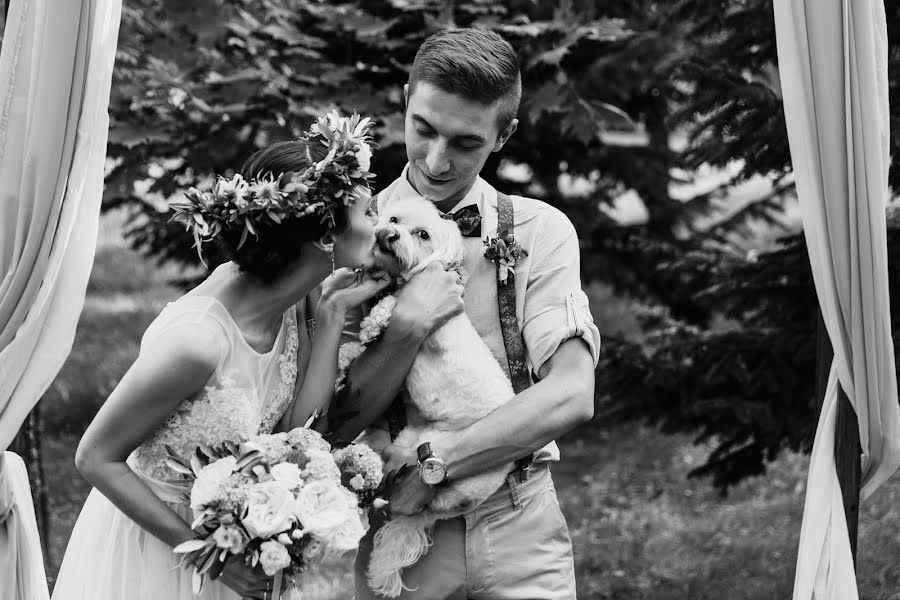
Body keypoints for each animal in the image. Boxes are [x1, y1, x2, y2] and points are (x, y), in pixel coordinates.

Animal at [366, 196, 516, 596]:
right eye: (393, 218)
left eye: (422, 235)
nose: (389, 235)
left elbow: (395, 307)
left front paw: (374, 321)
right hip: (409, 437)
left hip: (438, 470)